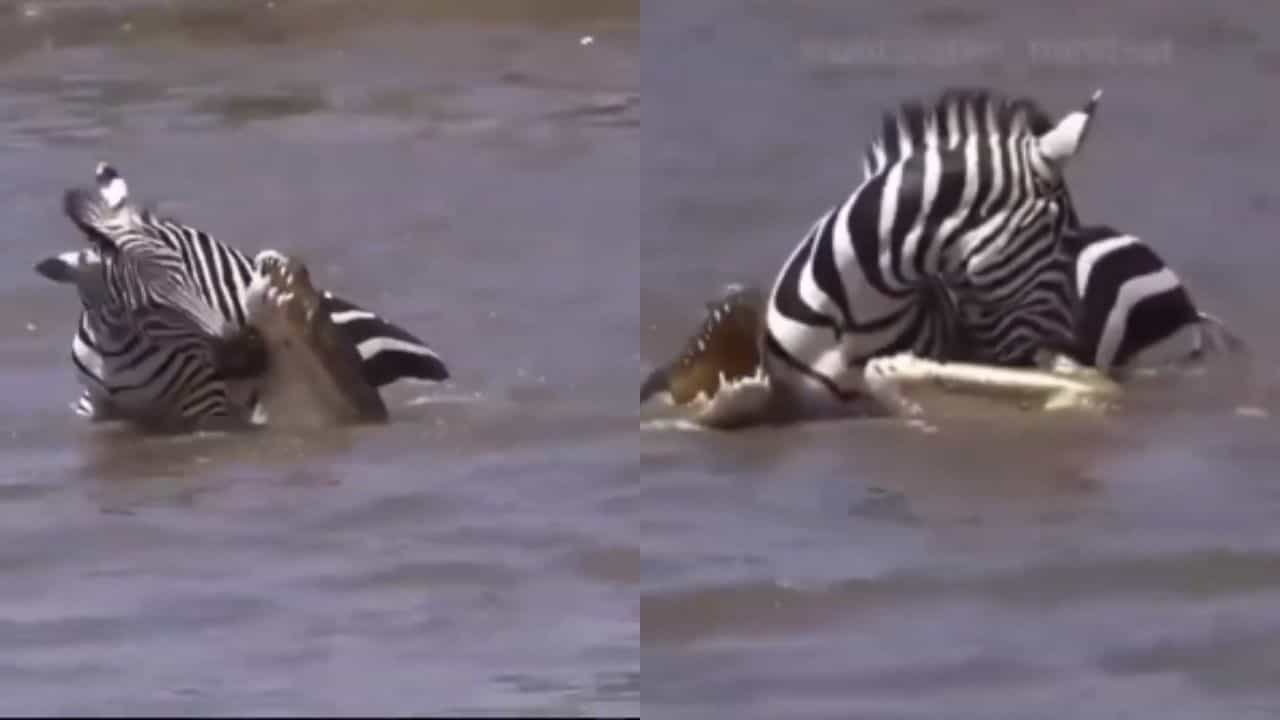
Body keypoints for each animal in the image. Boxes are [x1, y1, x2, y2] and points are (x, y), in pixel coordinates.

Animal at [36, 162, 449, 430]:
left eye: (193, 269)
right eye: (147, 307)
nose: (249, 352)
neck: (118, 348)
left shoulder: (209, 405)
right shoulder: (93, 406)